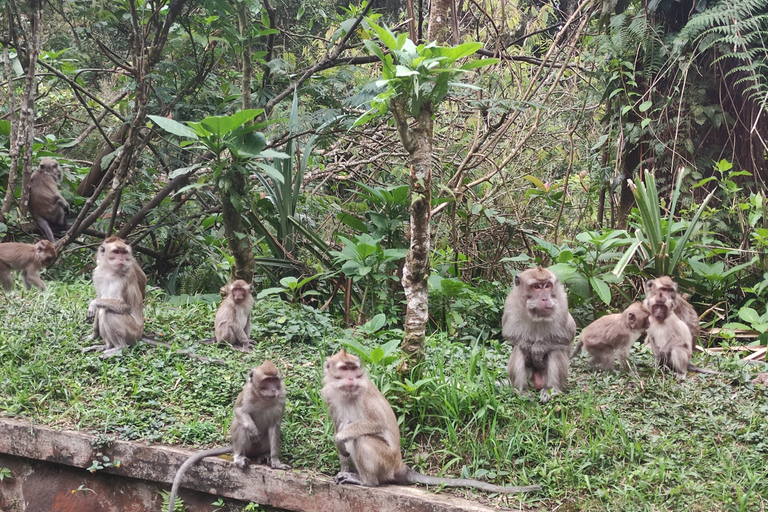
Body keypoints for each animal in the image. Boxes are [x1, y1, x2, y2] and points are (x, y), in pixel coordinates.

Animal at [166, 360, 290, 512]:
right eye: (267, 381)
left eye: (274, 380)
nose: (273, 390)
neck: (263, 398)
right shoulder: (247, 393)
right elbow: (239, 411)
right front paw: (252, 430)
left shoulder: (281, 396)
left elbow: (275, 426)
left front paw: (275, 461)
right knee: (241, 426)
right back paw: (239, 456)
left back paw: (264, 455)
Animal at [322, 348, 540, 492]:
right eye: (344, 368)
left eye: (353, 368)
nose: (351, 378)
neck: (348, 392)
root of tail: (400, 465)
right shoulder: (329, 397)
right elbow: (337, 426)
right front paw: (342, 465)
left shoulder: (365, 394)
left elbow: (375, 423)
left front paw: (340, 440)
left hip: (386, 461)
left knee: (362, 438)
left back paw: (366, 481)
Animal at [504, 268, 576, 404]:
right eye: (537, 287)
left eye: (547, 286)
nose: (545, 299)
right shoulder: (510, 304)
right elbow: (509, 334)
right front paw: (527, 345)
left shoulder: (562, 303)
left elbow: (567, 335)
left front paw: (538, 349)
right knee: (519, 350)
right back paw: (522, 391)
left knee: (555, 351)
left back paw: (551, 390)